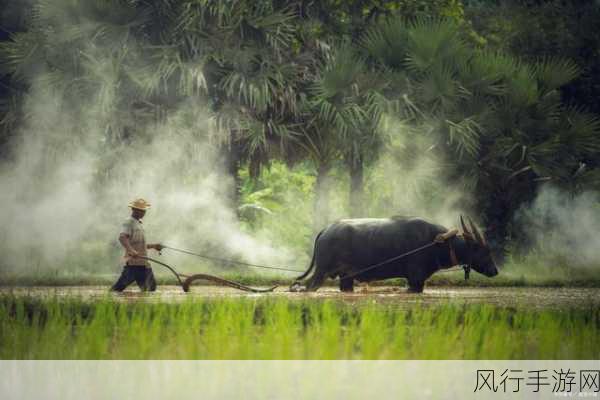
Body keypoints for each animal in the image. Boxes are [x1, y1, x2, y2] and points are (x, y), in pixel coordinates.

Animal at [290, 217, 496, 292]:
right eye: (483, 250)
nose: (495, 271)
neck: (436, 242)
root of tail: (326, 230)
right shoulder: (415, 281)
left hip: (346, 278)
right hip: (321, 272)